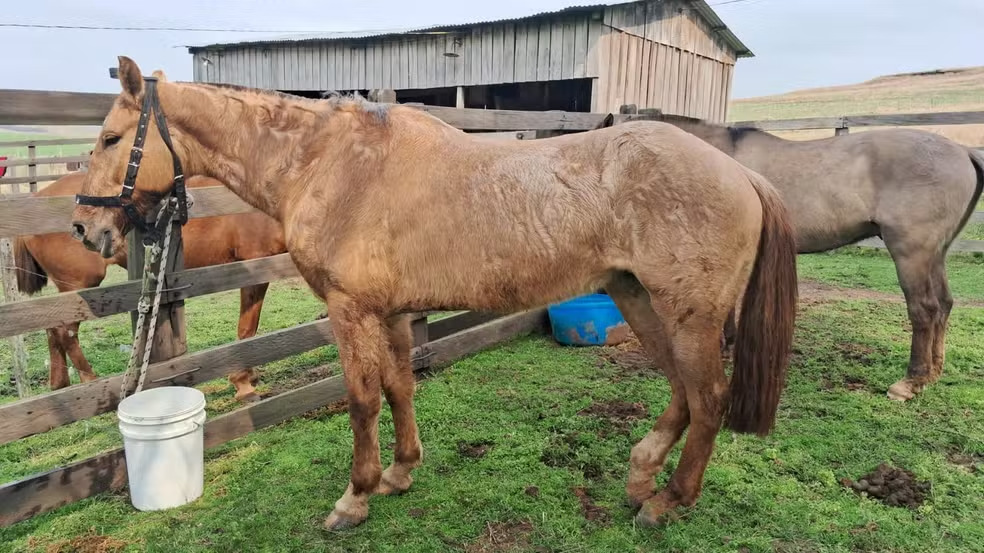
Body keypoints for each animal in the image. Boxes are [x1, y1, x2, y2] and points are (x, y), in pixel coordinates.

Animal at [15, 170, 286, 398]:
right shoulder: (254, 266)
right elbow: (247, 328)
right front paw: (243, 382)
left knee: (53, 329)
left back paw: (59, 384)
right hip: (79, 285)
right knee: (65, 332)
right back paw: (89, 381)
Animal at [69, 58, 796, 528]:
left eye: (110, 138)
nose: (85, 228)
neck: (327, 162)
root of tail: (741, 175)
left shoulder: (350, 310)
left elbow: (362, 400)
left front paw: (355, 496)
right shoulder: (391, 312)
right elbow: (399, 388)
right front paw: (401, 472)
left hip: (686, 314)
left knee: (708, 398)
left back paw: (669, 500)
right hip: (642, 300)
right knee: (683, 393)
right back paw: (642, 476)